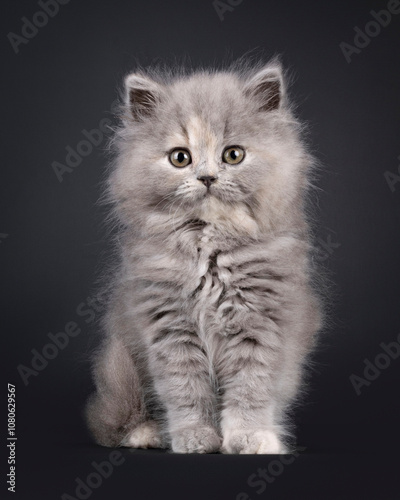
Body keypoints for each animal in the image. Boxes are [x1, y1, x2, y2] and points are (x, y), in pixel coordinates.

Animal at [86, 58, 324, 454]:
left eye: (233, 155)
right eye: (180, 158)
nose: (207, 177)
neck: (208, 248)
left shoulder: (262, 321)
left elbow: (250, 388)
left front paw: (248, 436)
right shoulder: (169, 323)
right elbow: (185, 389)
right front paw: (195, 436)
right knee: (119, 417)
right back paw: (147, 433)